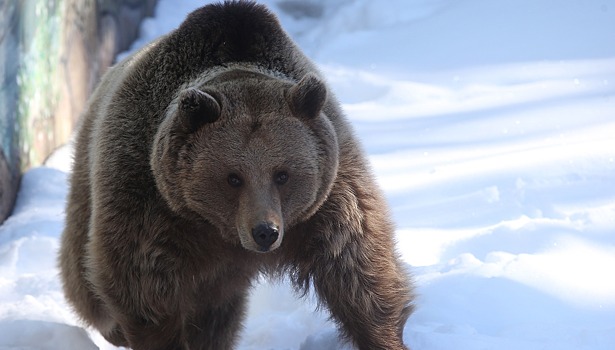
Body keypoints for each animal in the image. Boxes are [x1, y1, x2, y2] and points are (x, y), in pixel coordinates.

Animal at [59, 1, 414, 348]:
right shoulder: (149, 199)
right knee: (84, 281)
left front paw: (384, 337)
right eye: (233, 177)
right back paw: (112, 328)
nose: (265, 231)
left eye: (282, 174)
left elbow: (356, 269)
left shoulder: (329, 195)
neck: (222, 231)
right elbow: (145, 287)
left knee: (217, 315)